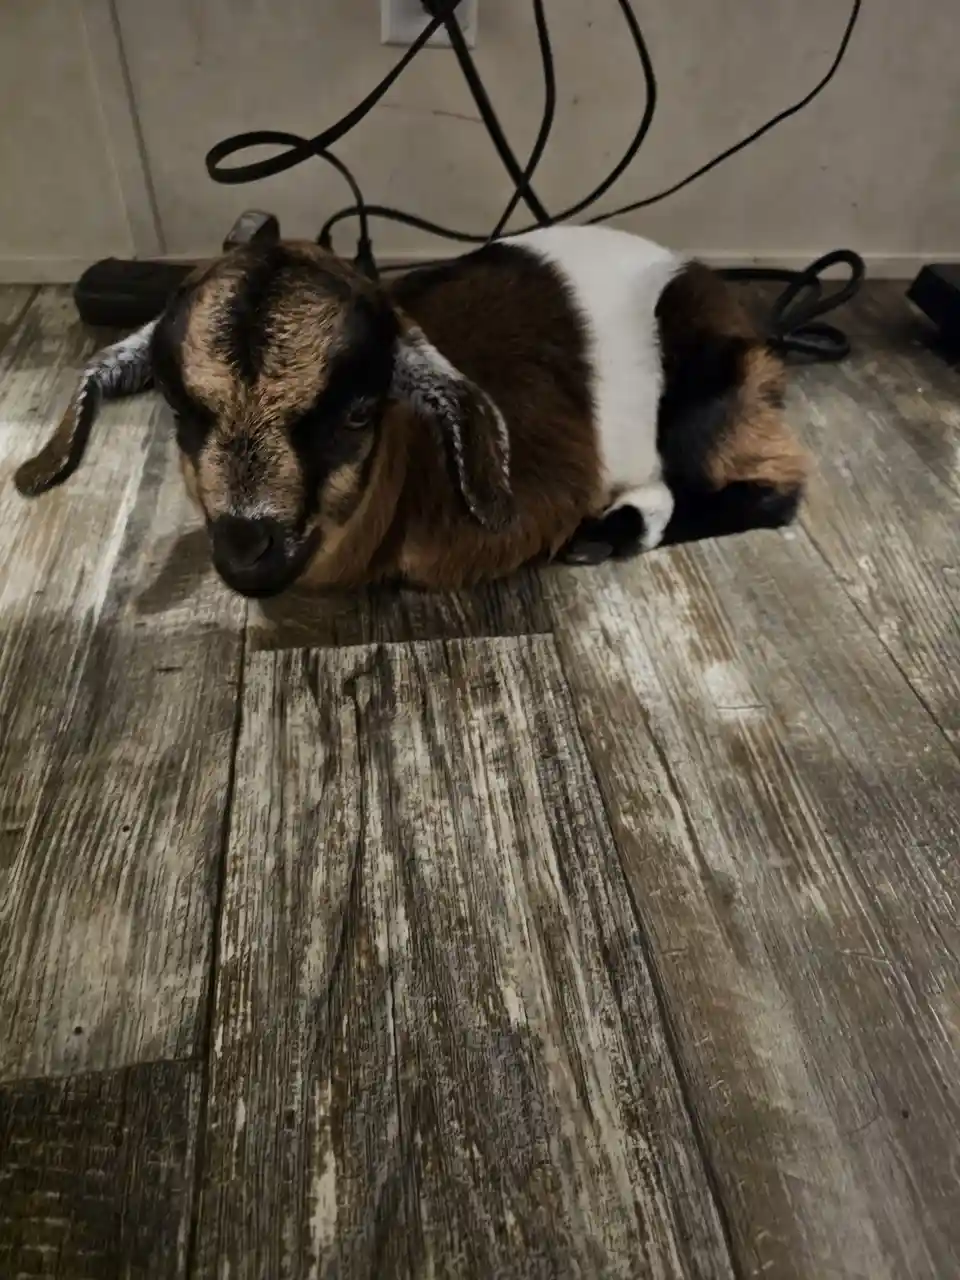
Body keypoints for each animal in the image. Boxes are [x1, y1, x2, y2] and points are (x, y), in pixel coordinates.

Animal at [14, 225, 808, 597]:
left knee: (773, 489)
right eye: (179, 413)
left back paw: (604, 535)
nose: (246, 548)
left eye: (359, 413)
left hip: (702, 398)